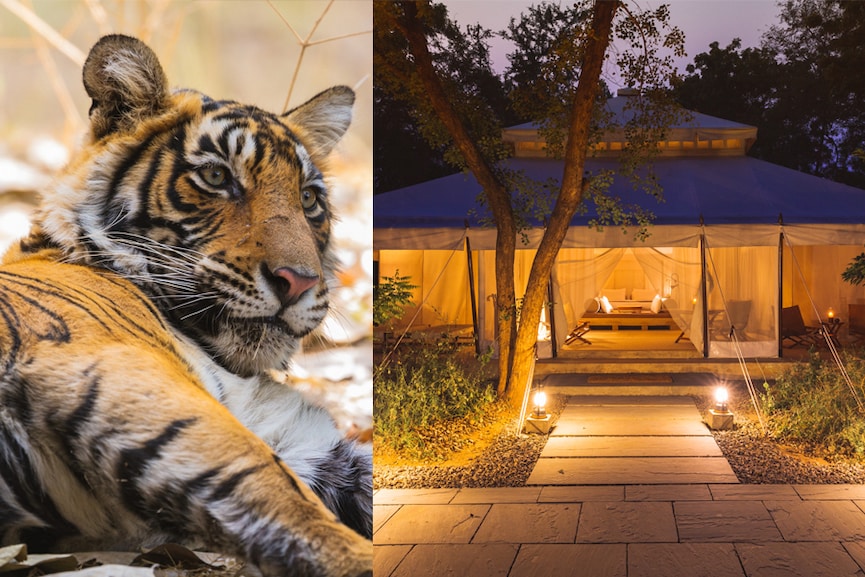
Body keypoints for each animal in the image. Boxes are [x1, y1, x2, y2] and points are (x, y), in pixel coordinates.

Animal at [0, 33, 372, 572]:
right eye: (217, 177)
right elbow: (276, 489)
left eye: (308, 200)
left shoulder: (298, 438)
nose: (298, 282)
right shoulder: (132, 380)